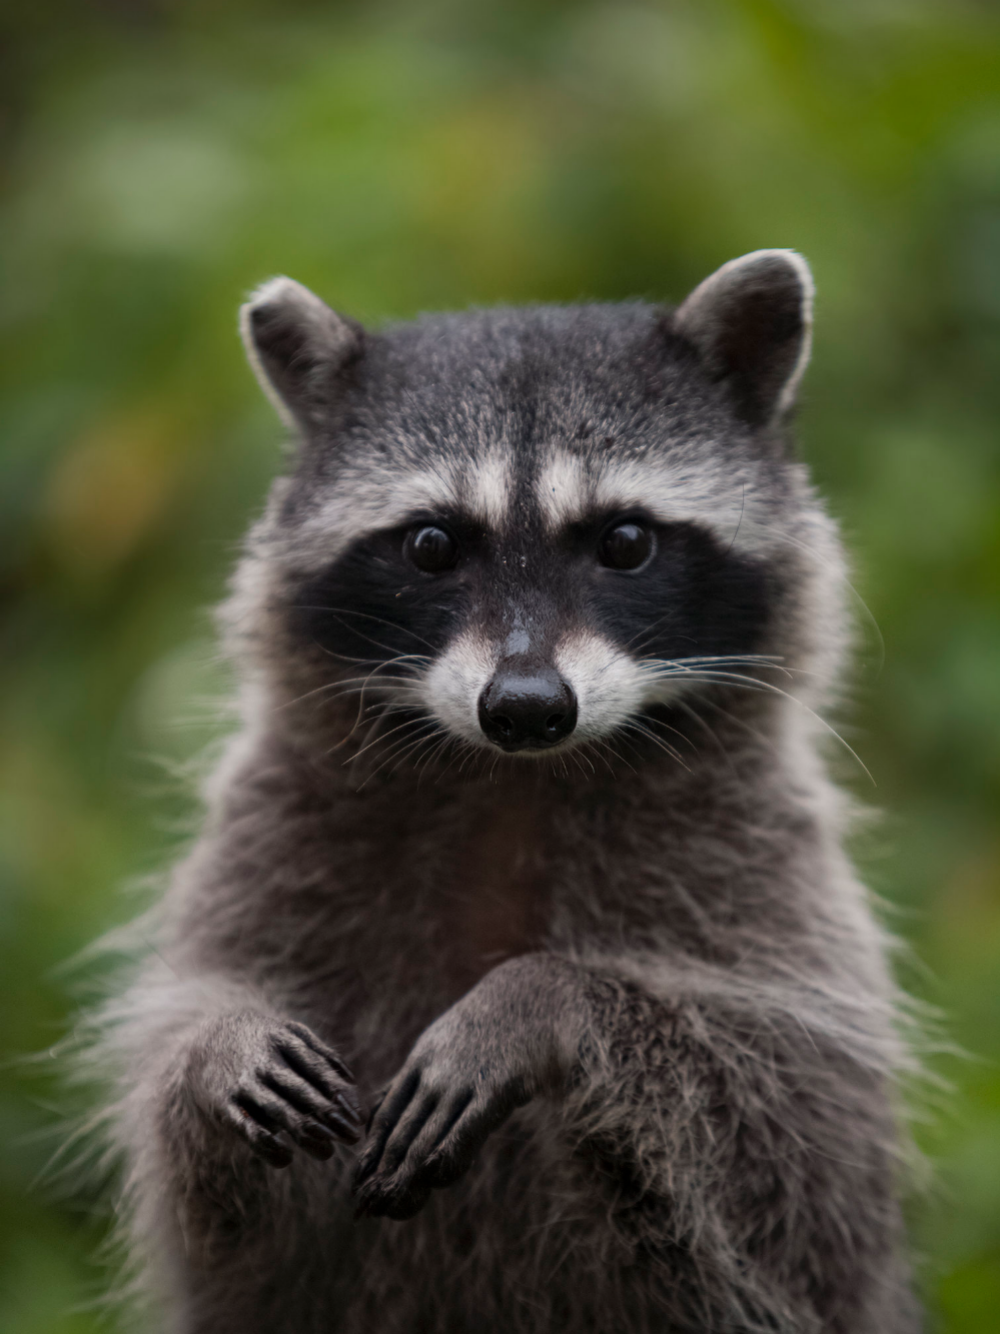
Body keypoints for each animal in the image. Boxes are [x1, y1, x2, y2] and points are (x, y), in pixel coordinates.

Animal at [93, 251, 921, 1333]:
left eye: (624, 541)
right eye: (432, 545)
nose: (526, 706)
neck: (513, 780)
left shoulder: (773, 878)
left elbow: (793, 1165)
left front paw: (543, 1000)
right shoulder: (271, 837)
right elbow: (217, 1220)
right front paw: (212, 1048)